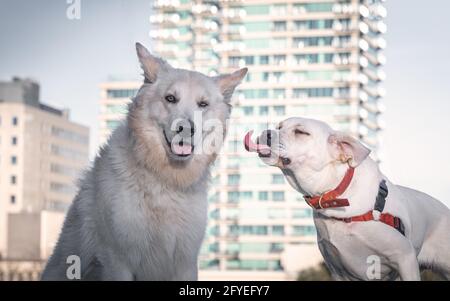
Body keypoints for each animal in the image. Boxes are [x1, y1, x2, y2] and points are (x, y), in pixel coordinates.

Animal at [246, 116, 450, 278]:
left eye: (301, 132)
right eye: (279, 126)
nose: (266, 132)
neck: (336, 195)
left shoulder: (405, 258)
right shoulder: (338, 270)